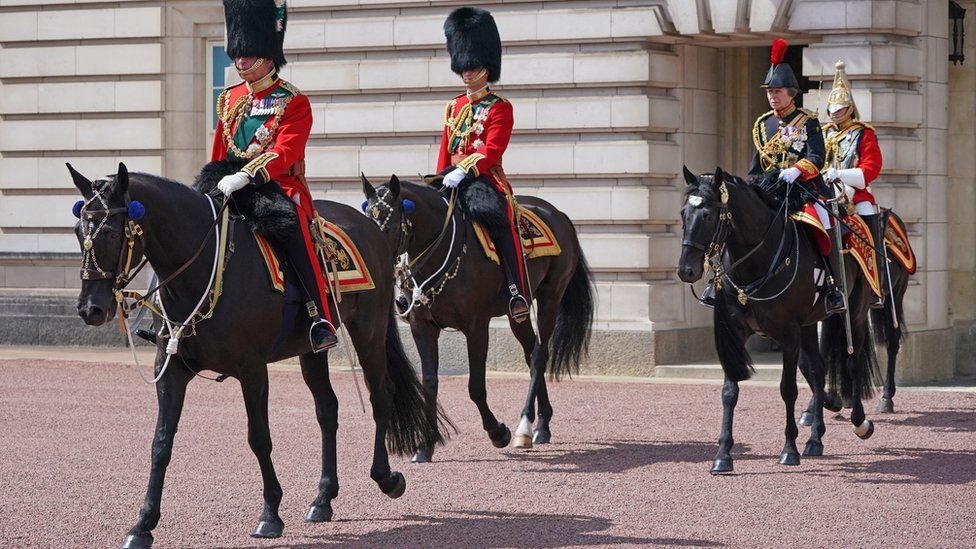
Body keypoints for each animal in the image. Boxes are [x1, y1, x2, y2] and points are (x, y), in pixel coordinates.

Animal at [68, 163, 446, 548]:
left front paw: (270, 514)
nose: (90, 309)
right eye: (78, 230)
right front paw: (142, 525)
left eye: (111, 232)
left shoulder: (252, 370)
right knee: (327, 409)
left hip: (367, 330)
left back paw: (385, 477)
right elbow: (161, 443)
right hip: (311, 348)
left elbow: (259, 438)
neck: (203, 270)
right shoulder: (171, 370)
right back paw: (323, 498)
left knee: (380, 396)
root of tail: (369, 225)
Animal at [360, 173, 596, 460]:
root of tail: (558, 213)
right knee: (531, 354)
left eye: (391, 226)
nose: (375, 263)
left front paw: (498, 432)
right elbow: (430, 383)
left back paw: (525, 427)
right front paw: (425, 445)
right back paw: (542, 425)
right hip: (517, 313)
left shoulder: (476, 327)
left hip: (551, 296)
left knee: (539, 356)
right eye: (367, 220)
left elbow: (475, 387)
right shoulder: (422, 327)